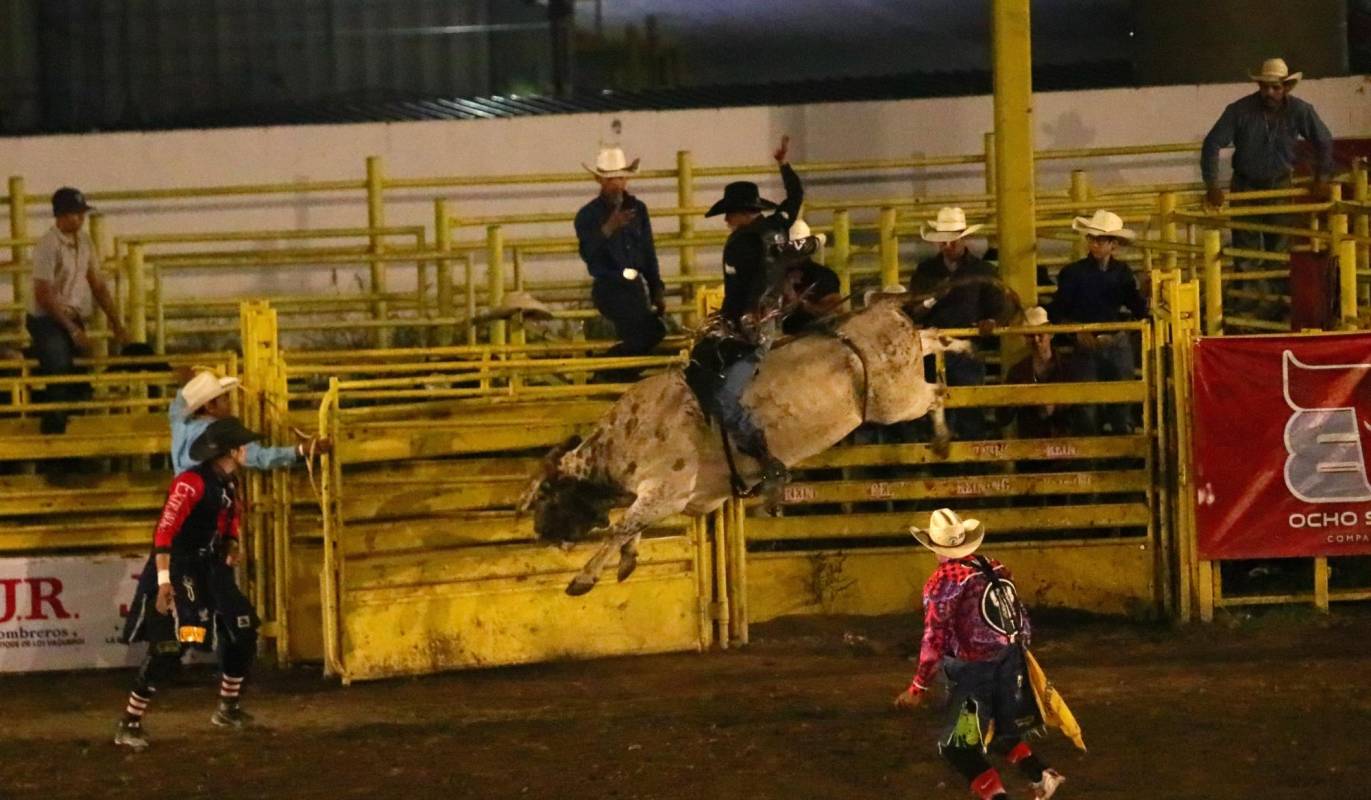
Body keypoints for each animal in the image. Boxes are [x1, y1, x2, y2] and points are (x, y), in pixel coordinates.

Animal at [518, 280, 1025, 594]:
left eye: (544, 494)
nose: (541, 534)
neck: (625, 439)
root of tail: (883, 306)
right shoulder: (675, 498)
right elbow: (632, 527)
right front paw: (625, 562)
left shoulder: (665, 489)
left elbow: (623, 524)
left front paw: (583, 579)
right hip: (903, 368)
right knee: (932, 338)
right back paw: (964, 349)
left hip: (894, 401)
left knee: (938, 390)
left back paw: (940, 436)